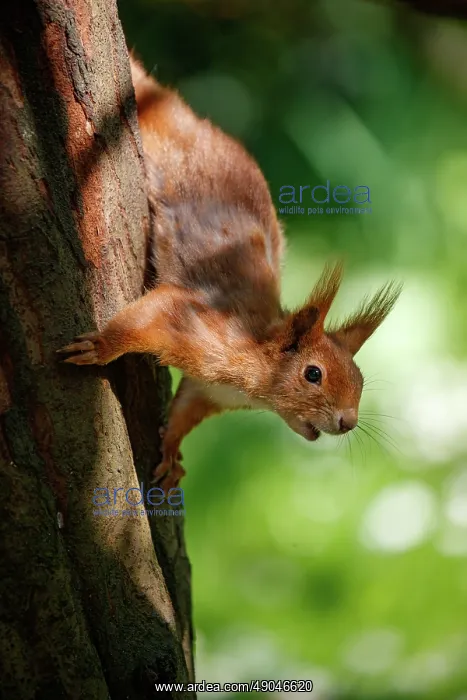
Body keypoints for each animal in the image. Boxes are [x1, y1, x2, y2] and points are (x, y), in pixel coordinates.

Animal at [58, 54, 401, 491]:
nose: (348, 422)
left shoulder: (207, 391)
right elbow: (146, 317)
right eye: (313, 374)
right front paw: (100, 346)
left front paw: (171, 452)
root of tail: (177, 110)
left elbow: (184, 411)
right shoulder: (191, 323)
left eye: (360, 379)